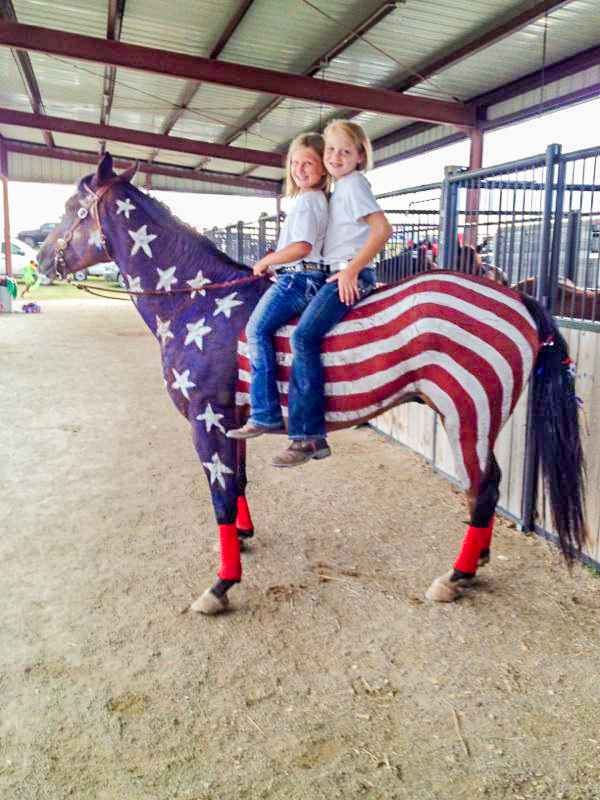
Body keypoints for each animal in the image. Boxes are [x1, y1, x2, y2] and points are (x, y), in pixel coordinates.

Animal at [37, 158, 584, 620]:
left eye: (68, 209)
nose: (41, 260)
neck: (195, 301)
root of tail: (514, 296)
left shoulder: (206, 420)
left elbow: (219, 496)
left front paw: (221, 584)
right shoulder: (232, 422)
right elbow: (238, 485)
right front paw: (244, 536)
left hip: (469, 411)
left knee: (485, 485)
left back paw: (455, 576)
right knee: (485, 488)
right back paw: (477, 562)